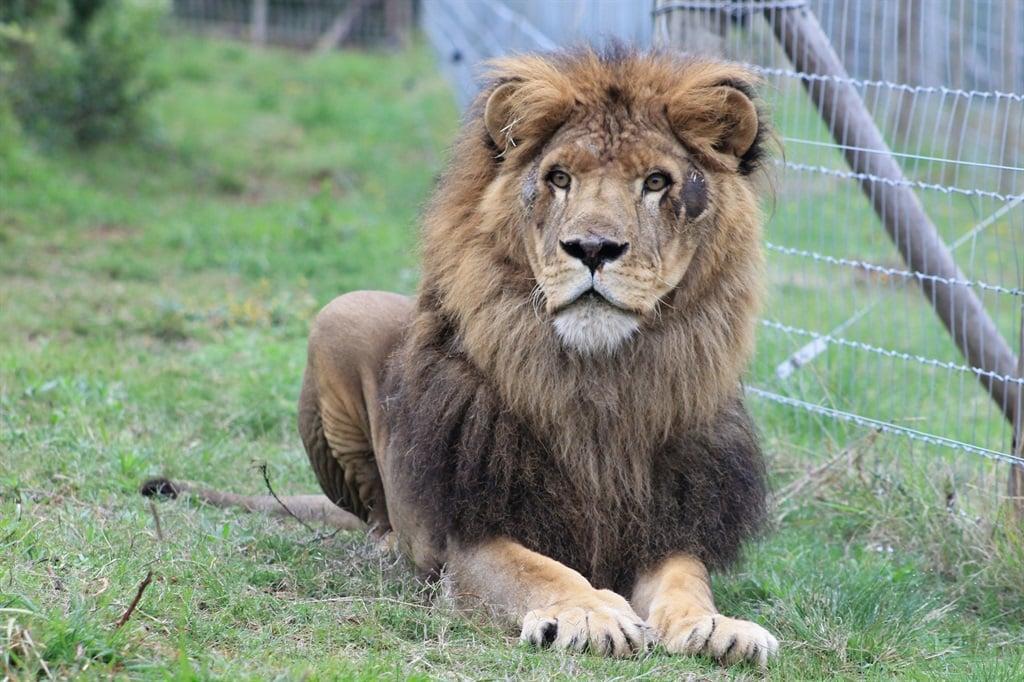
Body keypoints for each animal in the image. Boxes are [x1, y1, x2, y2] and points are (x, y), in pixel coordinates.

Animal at [146, 46, 778, 666]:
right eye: (560, 178)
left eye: (654, 182)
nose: (593, 248)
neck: (595, 383)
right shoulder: (469, 533)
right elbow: (541, 571)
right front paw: (591, 613)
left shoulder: (669, 523)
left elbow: (685, 579)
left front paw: (716, 626)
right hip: (339, 317)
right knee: (375, 514)